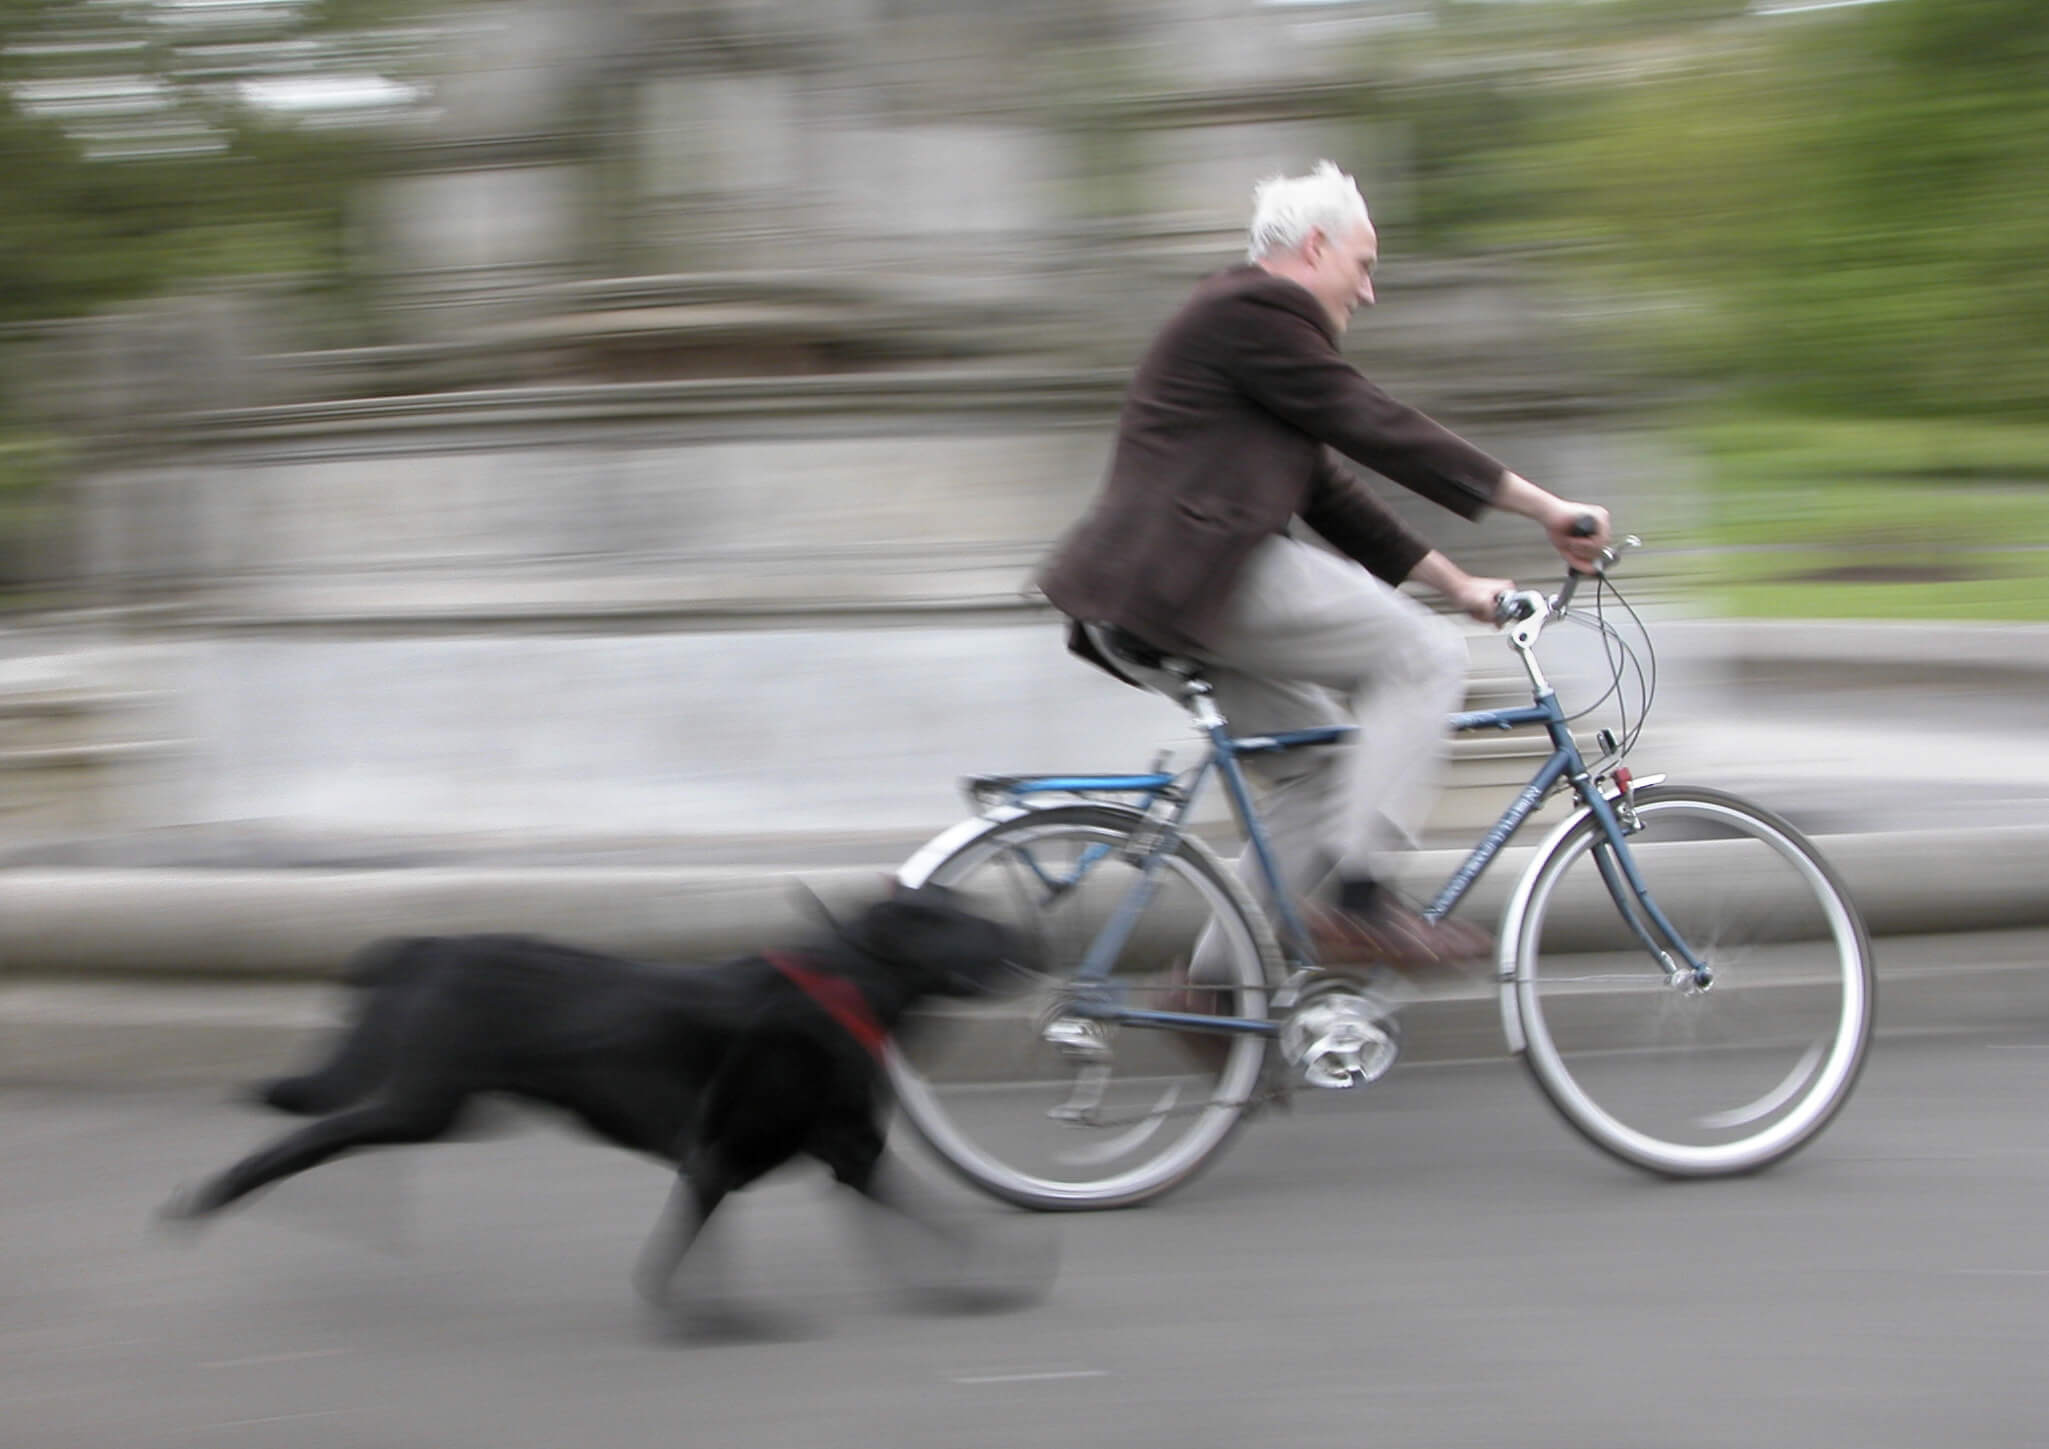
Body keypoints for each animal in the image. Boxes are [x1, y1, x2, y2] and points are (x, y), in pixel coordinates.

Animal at [161, 885, 1032, 1311]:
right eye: (959, 920)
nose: (1027, 935)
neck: (841, 988)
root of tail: (426, 945)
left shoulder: (845, 1152)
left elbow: (928, 1219)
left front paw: (970, 1286)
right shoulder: (720, 1152)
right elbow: (689, 1243)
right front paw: (706, 1319)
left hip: (439, 1109)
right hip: (423, 1106)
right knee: (307, 1139)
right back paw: (207, 1197)